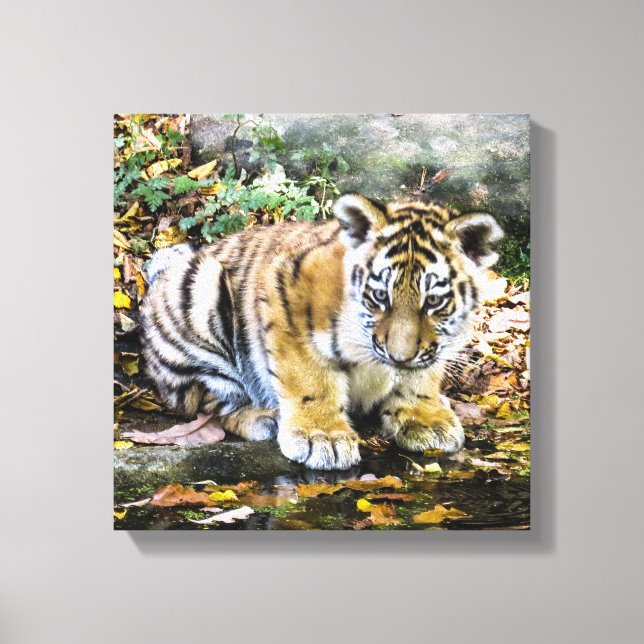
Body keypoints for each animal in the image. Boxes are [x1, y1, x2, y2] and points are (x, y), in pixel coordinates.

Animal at [140, 194, 503, 470]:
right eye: (379, 296)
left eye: (434, 301)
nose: (399, 357)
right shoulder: (284, 294)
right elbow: (309, 379)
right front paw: (323, 437)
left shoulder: (431, 348)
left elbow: (420, 377)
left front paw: (425, 419)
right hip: (200, 289)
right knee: (206, 402)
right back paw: (264, 418)